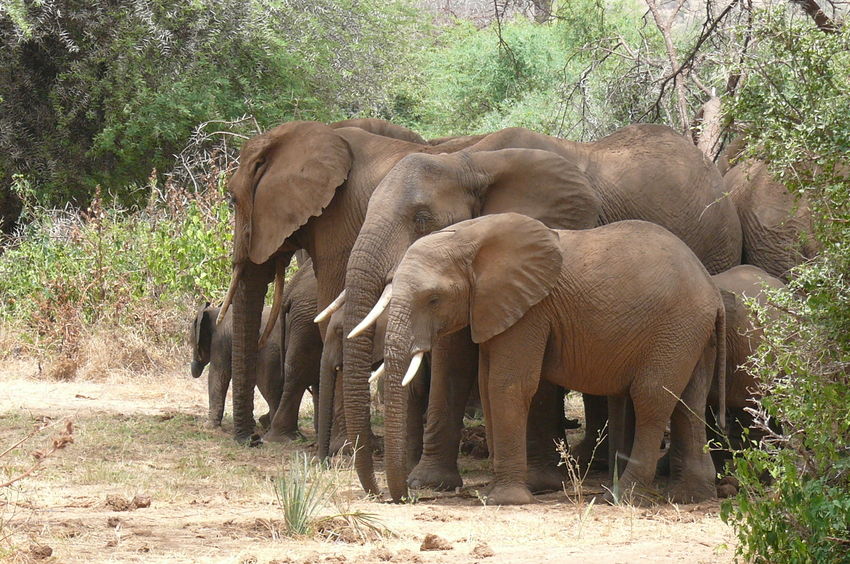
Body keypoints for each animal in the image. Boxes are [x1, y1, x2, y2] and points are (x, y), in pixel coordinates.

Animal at [382, 214, 724, 504]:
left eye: (433, 300)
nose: (406, 497)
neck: (472, 236)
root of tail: (711, 286)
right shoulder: (495, 309)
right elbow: (488, 383)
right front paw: (494, 493)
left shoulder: (531, 310)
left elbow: (507, 385)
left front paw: (504, 500)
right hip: (691, 332)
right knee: (689, 401)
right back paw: (690, 496)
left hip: (677, 326)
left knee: (651, 397)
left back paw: (622, 496)